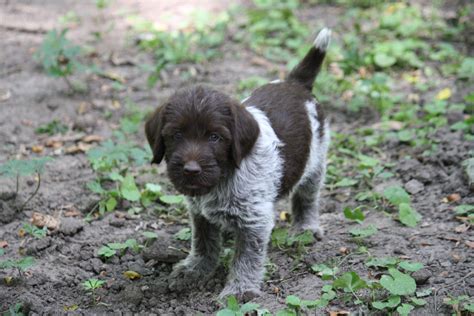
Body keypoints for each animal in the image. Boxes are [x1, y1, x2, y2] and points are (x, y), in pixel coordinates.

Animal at [145, 27, 334, 298]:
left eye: (215, 137)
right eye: (176, 135)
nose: (190, 170)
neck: (223, 177)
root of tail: (295, 83)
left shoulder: (254, 220)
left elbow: (246, 258)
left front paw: (239, 291)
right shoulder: (199, 213)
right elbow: (204, 243)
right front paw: (195, 270)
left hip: (316, 160)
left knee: (307, 196)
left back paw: (305, 227)